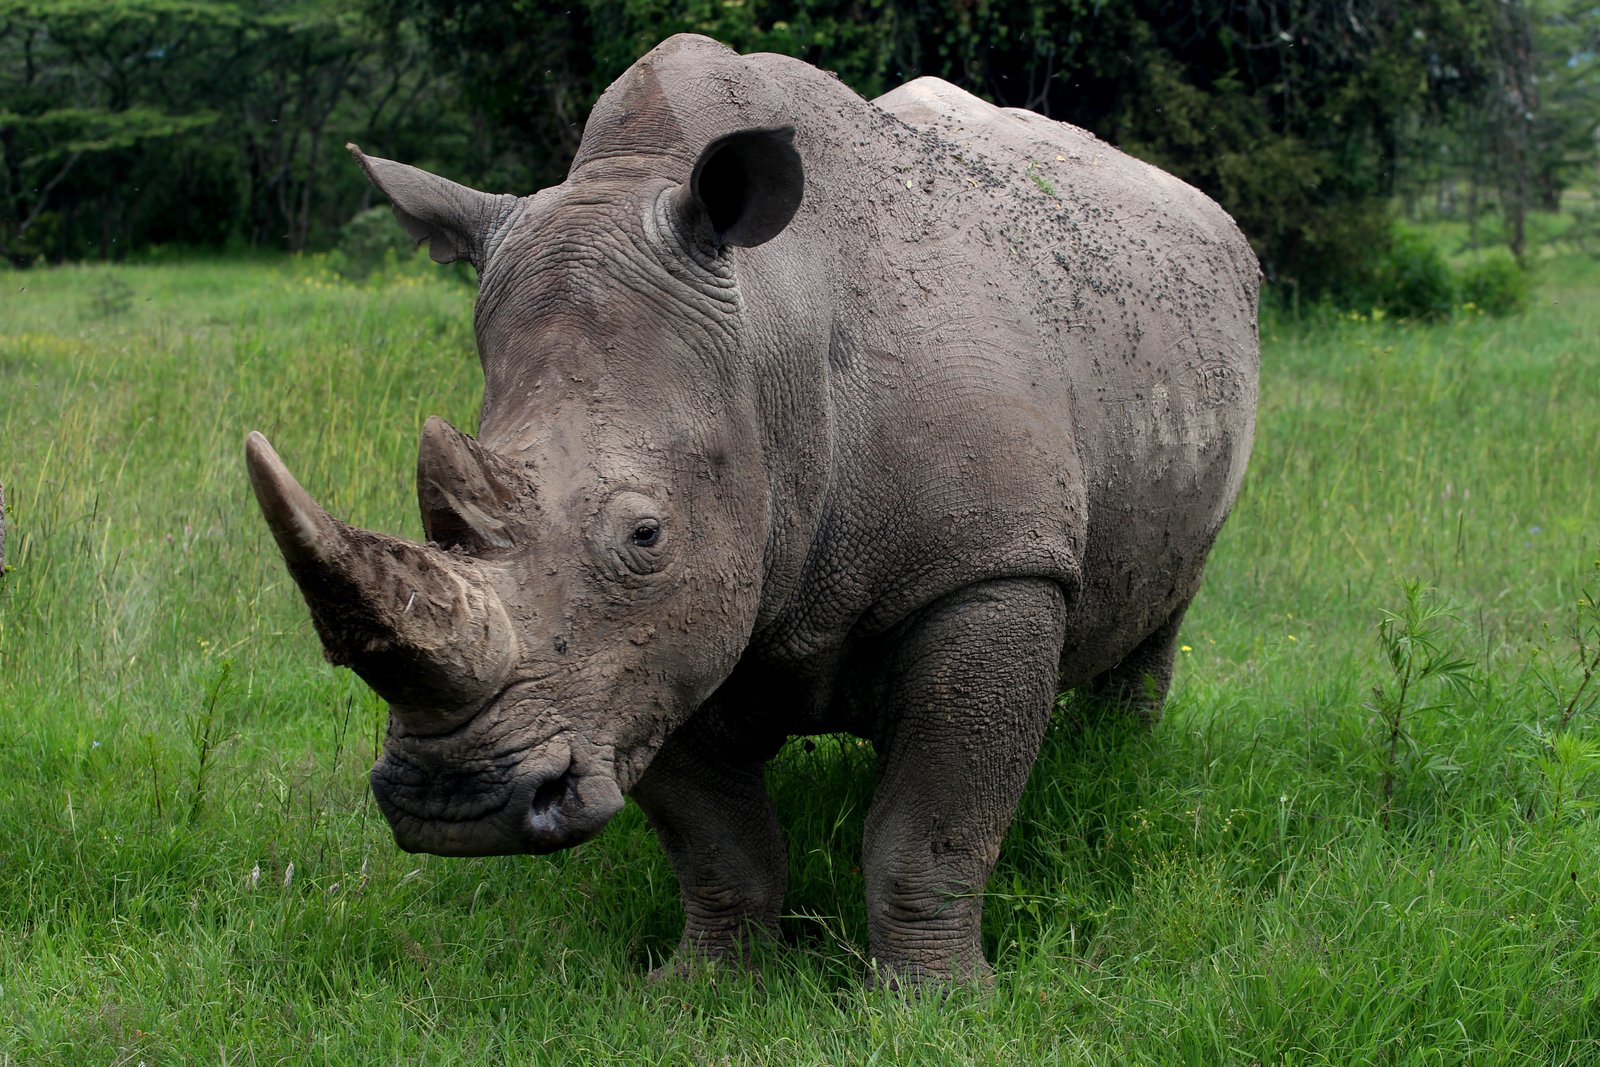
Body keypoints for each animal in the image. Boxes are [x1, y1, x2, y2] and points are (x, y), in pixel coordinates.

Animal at [246, 33, 1258, 986]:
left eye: (645, 533)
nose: (454, 803)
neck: (773, 344)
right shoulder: (656, 643)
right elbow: (719, 845)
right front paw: (702, 986)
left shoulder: (989, 564)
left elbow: (933, 830)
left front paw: (940, 1000)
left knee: (1167, 606)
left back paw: (1111, 763)